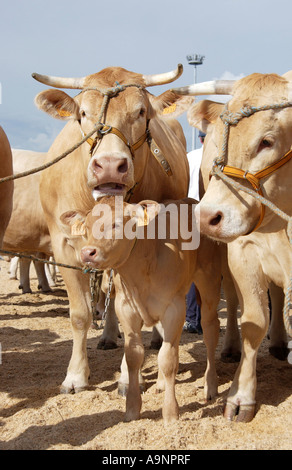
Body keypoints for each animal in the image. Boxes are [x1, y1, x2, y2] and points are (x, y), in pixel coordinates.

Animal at [31, 65, 198, 392]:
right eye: (83, 113)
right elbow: (80, 313)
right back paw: (107, 336)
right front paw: (75, 375)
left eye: (142, 112)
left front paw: (127, 377)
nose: (109, 165)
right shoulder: (64, 245)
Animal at [60, 196, 221, 424]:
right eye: (87, 228)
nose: (87, 252)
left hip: (209, 280)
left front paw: (170, 413)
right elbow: (134, 357)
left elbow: (168, 359)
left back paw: (210, 385)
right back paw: (161, 383)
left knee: (210, 331)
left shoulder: (174, 308)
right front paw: (132, 409)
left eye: (116, 224)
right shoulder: (126, 310)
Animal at [173, 70, 292, 422]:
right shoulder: (244, 250)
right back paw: (230, 348)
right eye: (220, 144)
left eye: (267, 141)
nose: (207, 216)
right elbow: (254, 320)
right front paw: (241, 396)